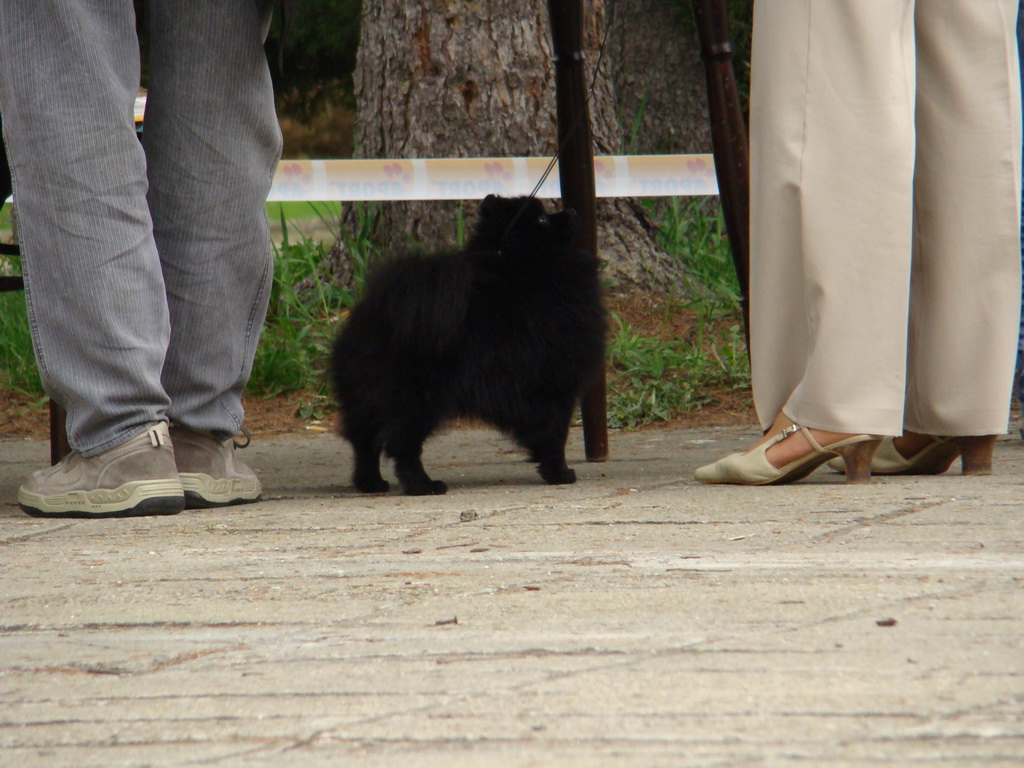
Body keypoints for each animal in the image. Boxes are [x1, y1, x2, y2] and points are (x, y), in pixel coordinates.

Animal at [331, 195, 606, 495]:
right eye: (543, 219)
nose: (572, 210)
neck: (526, 267)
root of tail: (379, 314)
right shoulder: (556, 387)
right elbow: (555, 436)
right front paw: (560, 473)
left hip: (366, 398)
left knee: (364, 442)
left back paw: (370, 483)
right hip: (415, 401)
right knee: (403, 446)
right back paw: (424, 485)